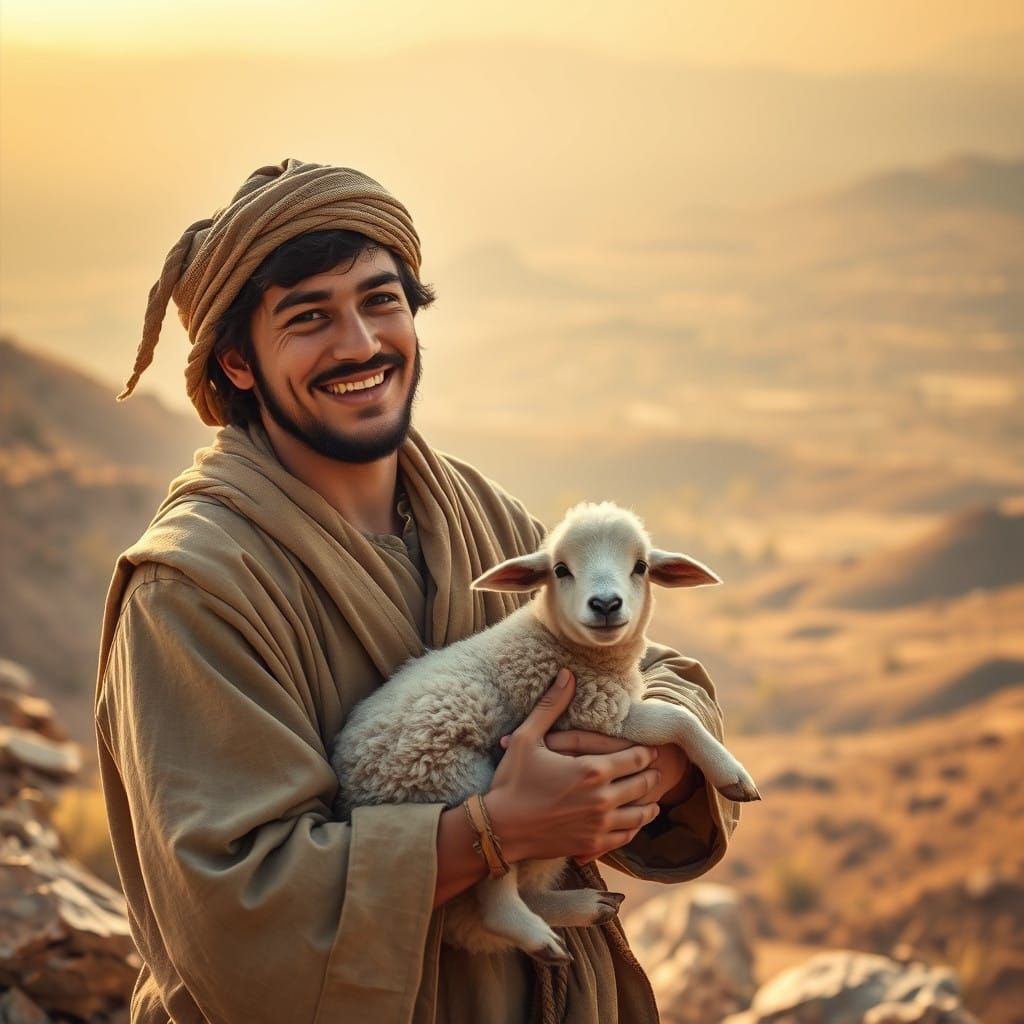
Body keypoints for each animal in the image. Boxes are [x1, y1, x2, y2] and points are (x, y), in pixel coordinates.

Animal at [331, 501, 759, 964]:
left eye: (641, 566)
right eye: (560, 570)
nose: (605, 604)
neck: (567, 645)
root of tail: (352, 799)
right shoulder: (593, 711)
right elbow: (676, 719)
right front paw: (732, 774)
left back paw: (586, 907)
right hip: (454, 783)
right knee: (490, 898)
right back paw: (539, 933)